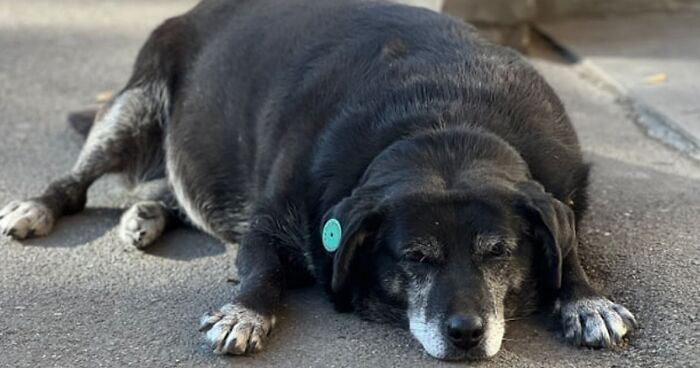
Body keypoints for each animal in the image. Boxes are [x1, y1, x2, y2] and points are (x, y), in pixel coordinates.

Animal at [0, 0, 636, 360]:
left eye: (499, 252)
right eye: (414, 257)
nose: (465, 333)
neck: (444, 117)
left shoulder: (558, 194)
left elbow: (569, 244)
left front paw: (586, 299)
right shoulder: (266, 223)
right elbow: (261, 271)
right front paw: (244, 312)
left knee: (170, 191)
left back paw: (147, 214)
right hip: (133, 106)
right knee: (78, 179)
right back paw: (38, 206)